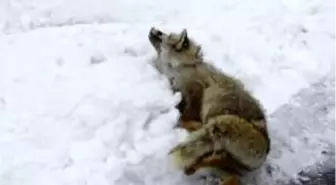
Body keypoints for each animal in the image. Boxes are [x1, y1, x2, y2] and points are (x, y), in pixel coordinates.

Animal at [148, 27, 272, 185]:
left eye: (166, 35)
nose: (153, 29)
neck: (184, 66)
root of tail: (265, 151)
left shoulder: (195, 91)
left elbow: (184, 114)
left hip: (218, 120)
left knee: (214, 151)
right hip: (224, 153)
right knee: (229, 172)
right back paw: (195, 166)